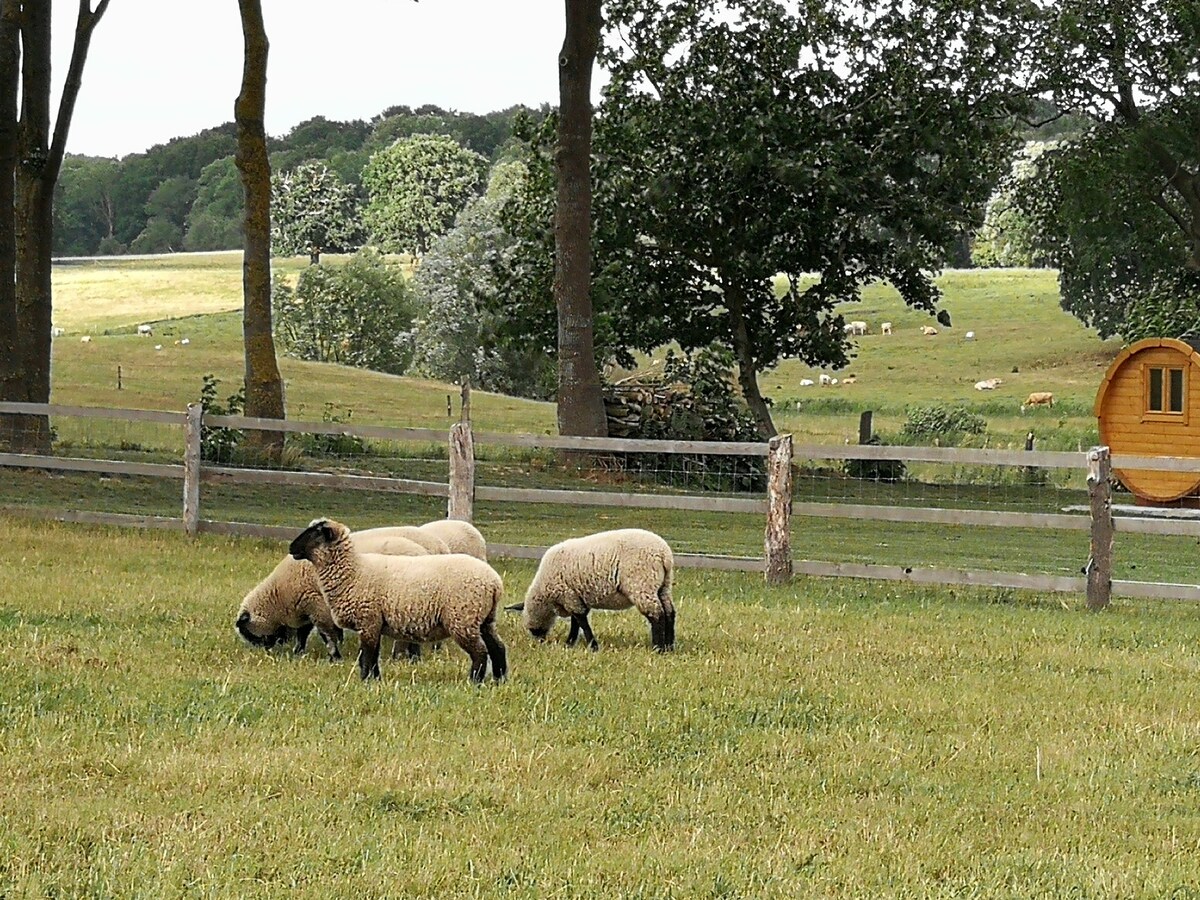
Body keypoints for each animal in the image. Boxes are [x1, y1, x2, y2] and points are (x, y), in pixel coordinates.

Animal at [234, 528, 432, 662]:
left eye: (249, 634)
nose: (265, 651)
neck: (280, 593)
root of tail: (423, 551)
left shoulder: (317, 606)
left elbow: (326, 635)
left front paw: (335, 657)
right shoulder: (308, 607)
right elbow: (304, 633)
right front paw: (299, 652)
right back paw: (413, 657)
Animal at [289, 520, 506, 681]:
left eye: (316, 533)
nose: (291, 548)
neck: (353, 571)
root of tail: (494, 583)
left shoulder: (368, 620)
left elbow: (367, 655)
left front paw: (365, 680)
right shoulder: (374, 623)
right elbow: (373, 655)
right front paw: (375, 680)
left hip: (463, 618)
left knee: (480, 652)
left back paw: (475, 681)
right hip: (484, 619)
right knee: (498, 647)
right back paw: (499, 679)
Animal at [506, 528, 676, 657]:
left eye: (532, 629)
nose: (539, 641)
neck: (545, 593)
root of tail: (664, 555)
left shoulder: (568, 595)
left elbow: (581, 620)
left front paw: (592, 646)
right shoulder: (576, 596)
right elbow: (576, 621)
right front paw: (570, 643)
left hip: (641, 584)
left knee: (657, 614)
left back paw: (658, 649)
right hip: (663, 586)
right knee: (670, 612)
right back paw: (669, 646)